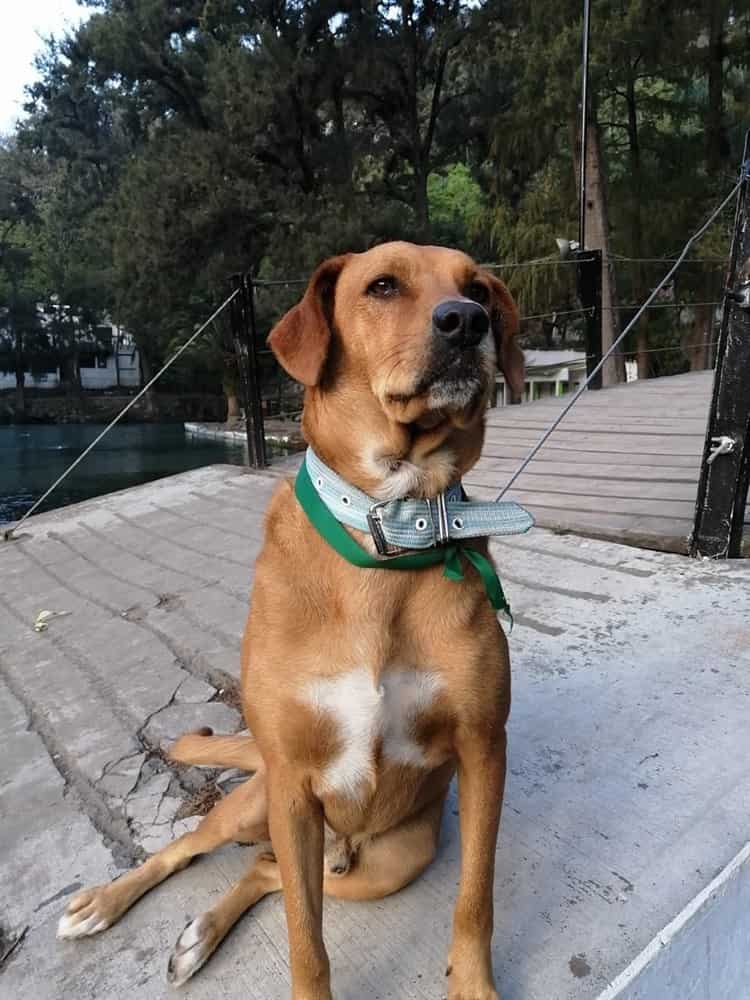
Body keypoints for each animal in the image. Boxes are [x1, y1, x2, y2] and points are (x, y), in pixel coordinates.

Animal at [58, 244, 524, 1000]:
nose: (467, 322)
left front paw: (474, 985)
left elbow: (474, 897)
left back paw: (201, 933)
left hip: (394, 859)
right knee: (195, 848)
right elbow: (307, 940)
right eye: (383, 286)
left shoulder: (484, 749)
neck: (392, 527)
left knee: (265, 870)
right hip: (260, 803)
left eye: (478, 288)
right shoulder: (294, 786)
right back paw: (107, 902)